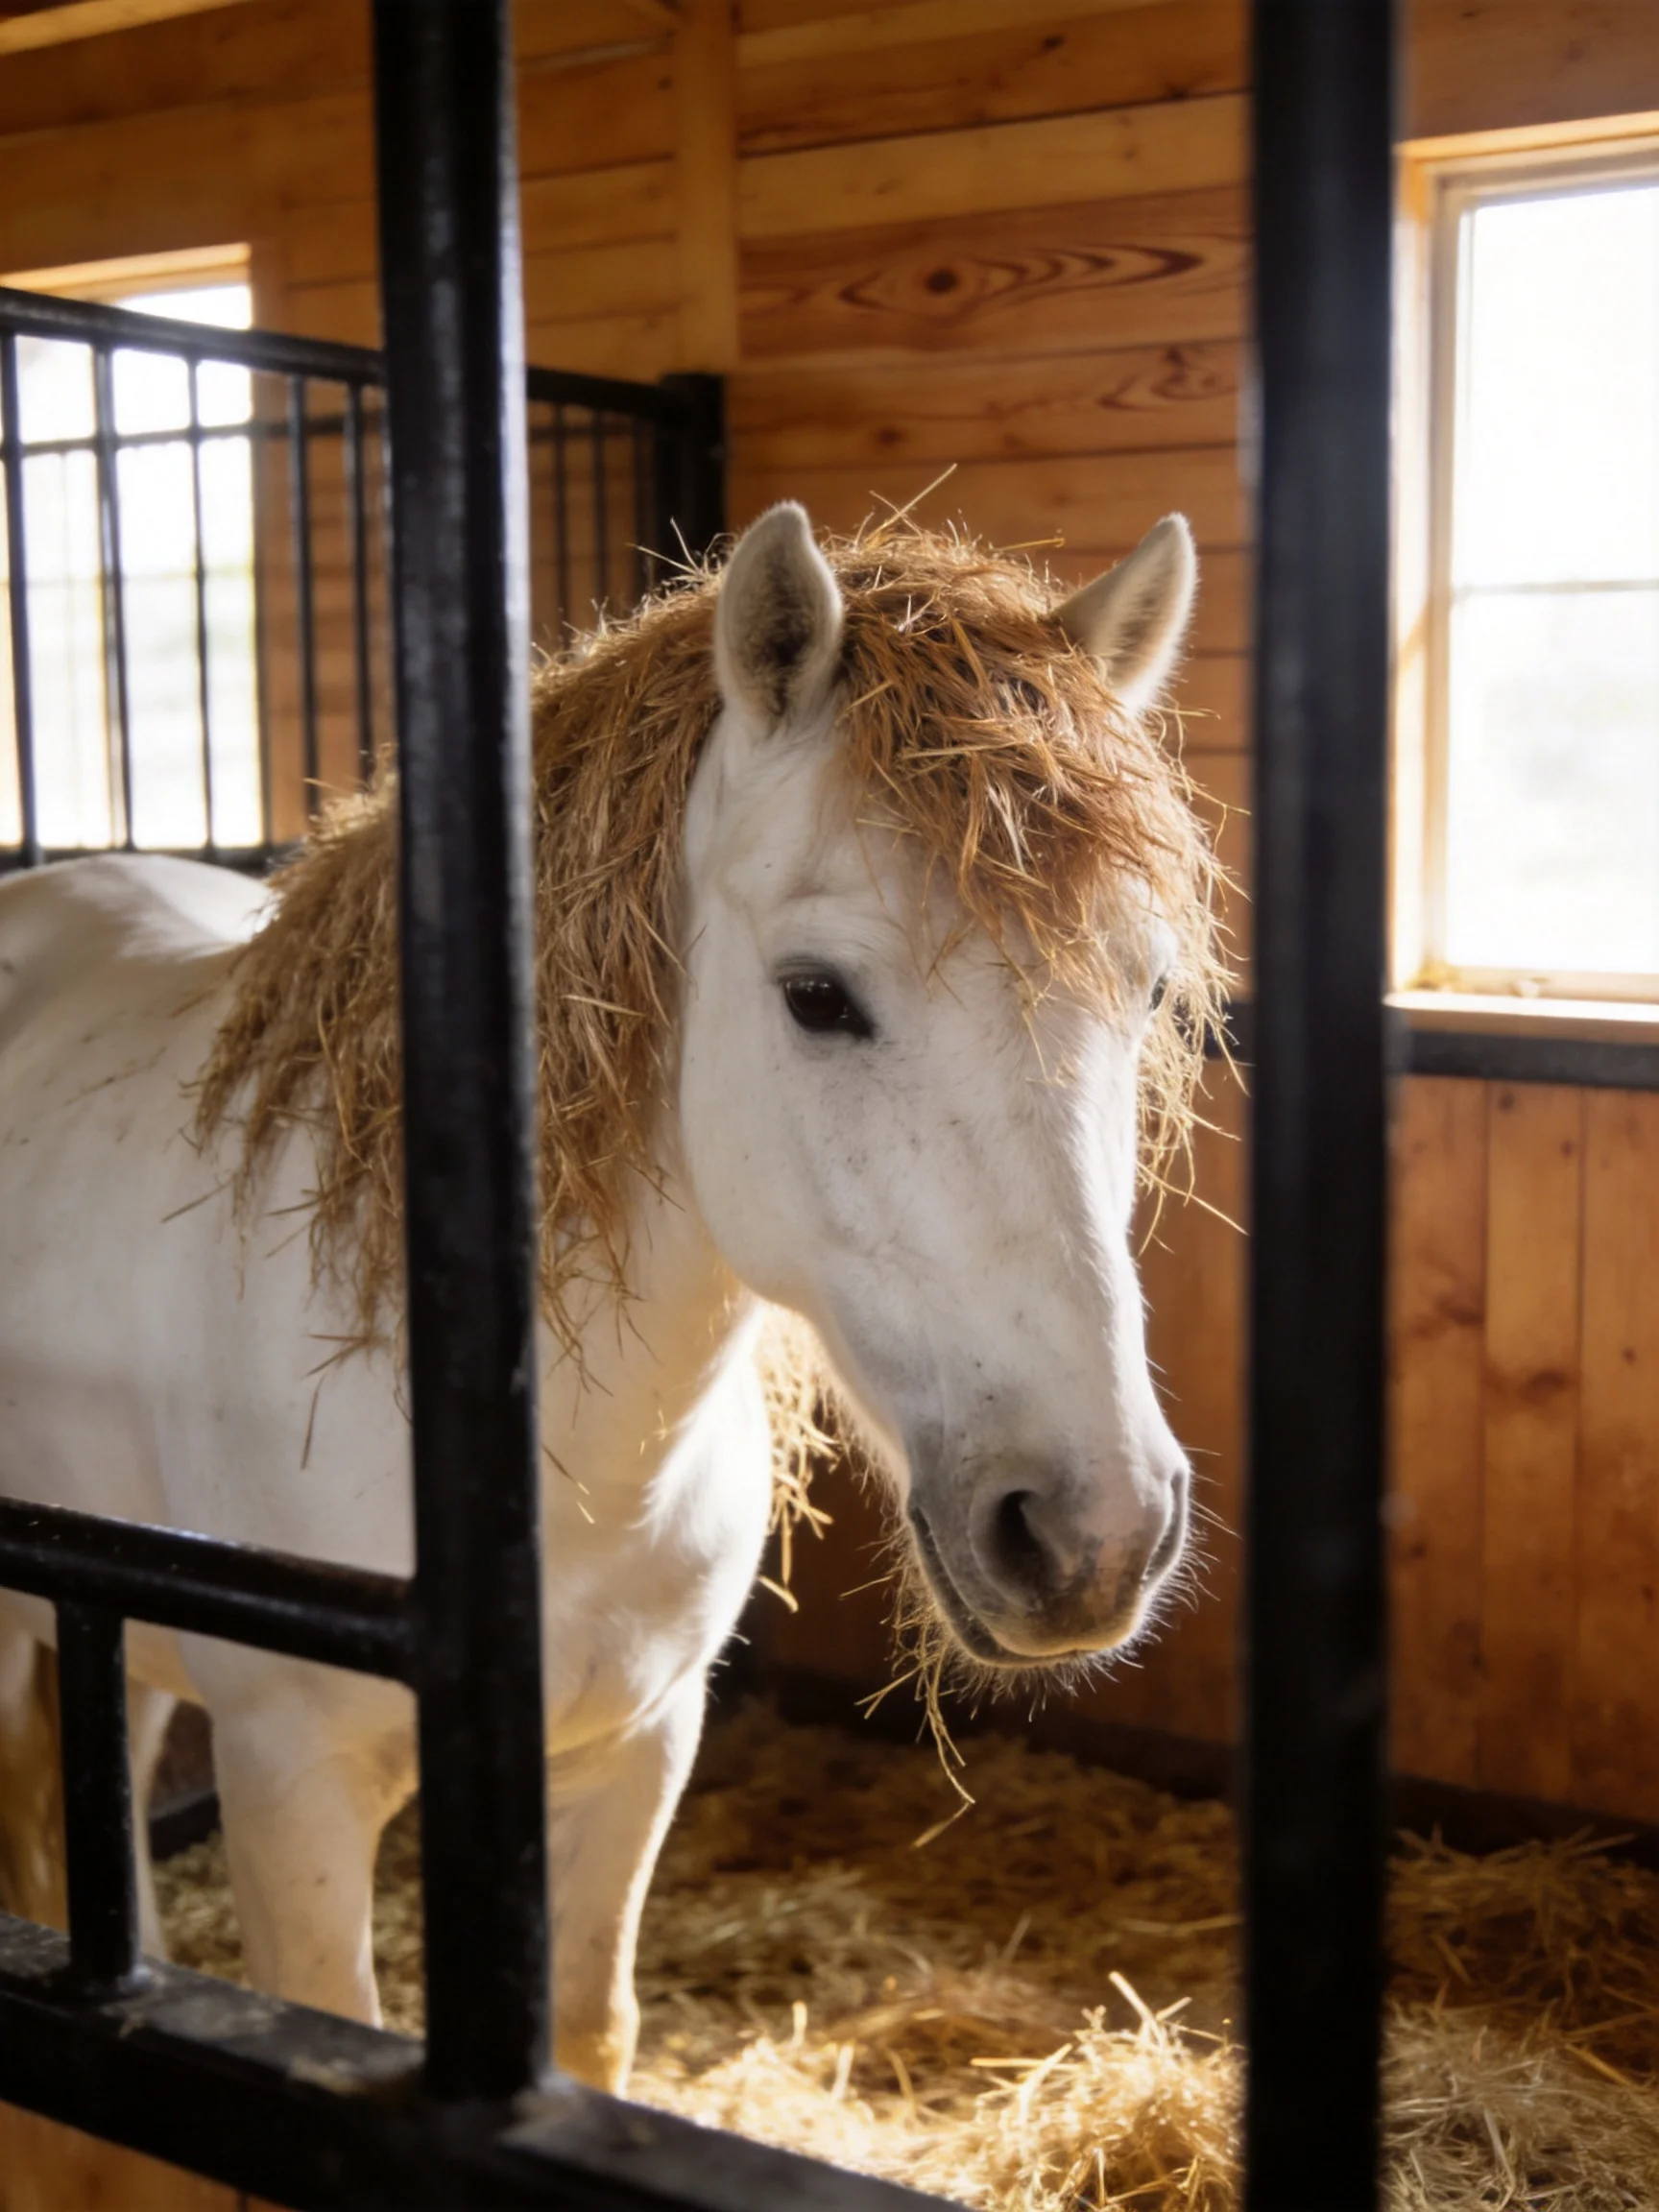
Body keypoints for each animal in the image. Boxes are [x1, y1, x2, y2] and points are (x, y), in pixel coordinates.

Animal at [0, 503, 1221, 2089]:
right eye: (816, 995)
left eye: (1146, 993)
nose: (1092, 1534)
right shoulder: (291, 1785)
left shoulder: (638, 1750)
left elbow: (591, 2031)